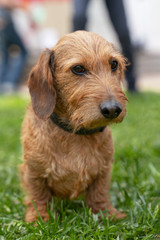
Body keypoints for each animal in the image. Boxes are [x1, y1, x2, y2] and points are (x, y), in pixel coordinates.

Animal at [20, 31, 127, 222]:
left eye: (114, 64)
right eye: (78, 68)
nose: (113, 109)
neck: (75, 133)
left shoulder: (104, 170)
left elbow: (99, 192)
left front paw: (106, 213)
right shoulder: (33, 171)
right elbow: (38, 195)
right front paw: (40, 219)